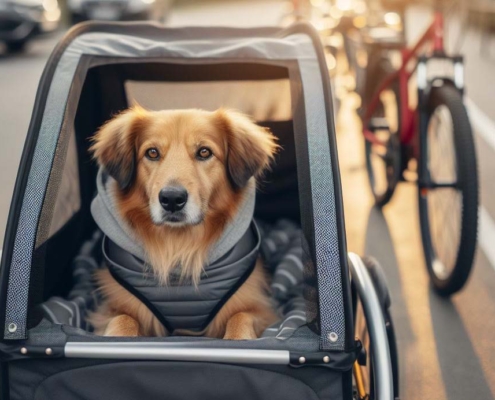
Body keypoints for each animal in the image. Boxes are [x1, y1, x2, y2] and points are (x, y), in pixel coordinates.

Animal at [88, 107, 280, 340]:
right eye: (152, 153)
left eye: (204, 152)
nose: (171, 199)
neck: (179, 245)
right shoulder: (114, 306)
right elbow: (123, 319)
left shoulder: (258, 307)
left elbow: (240, 317)